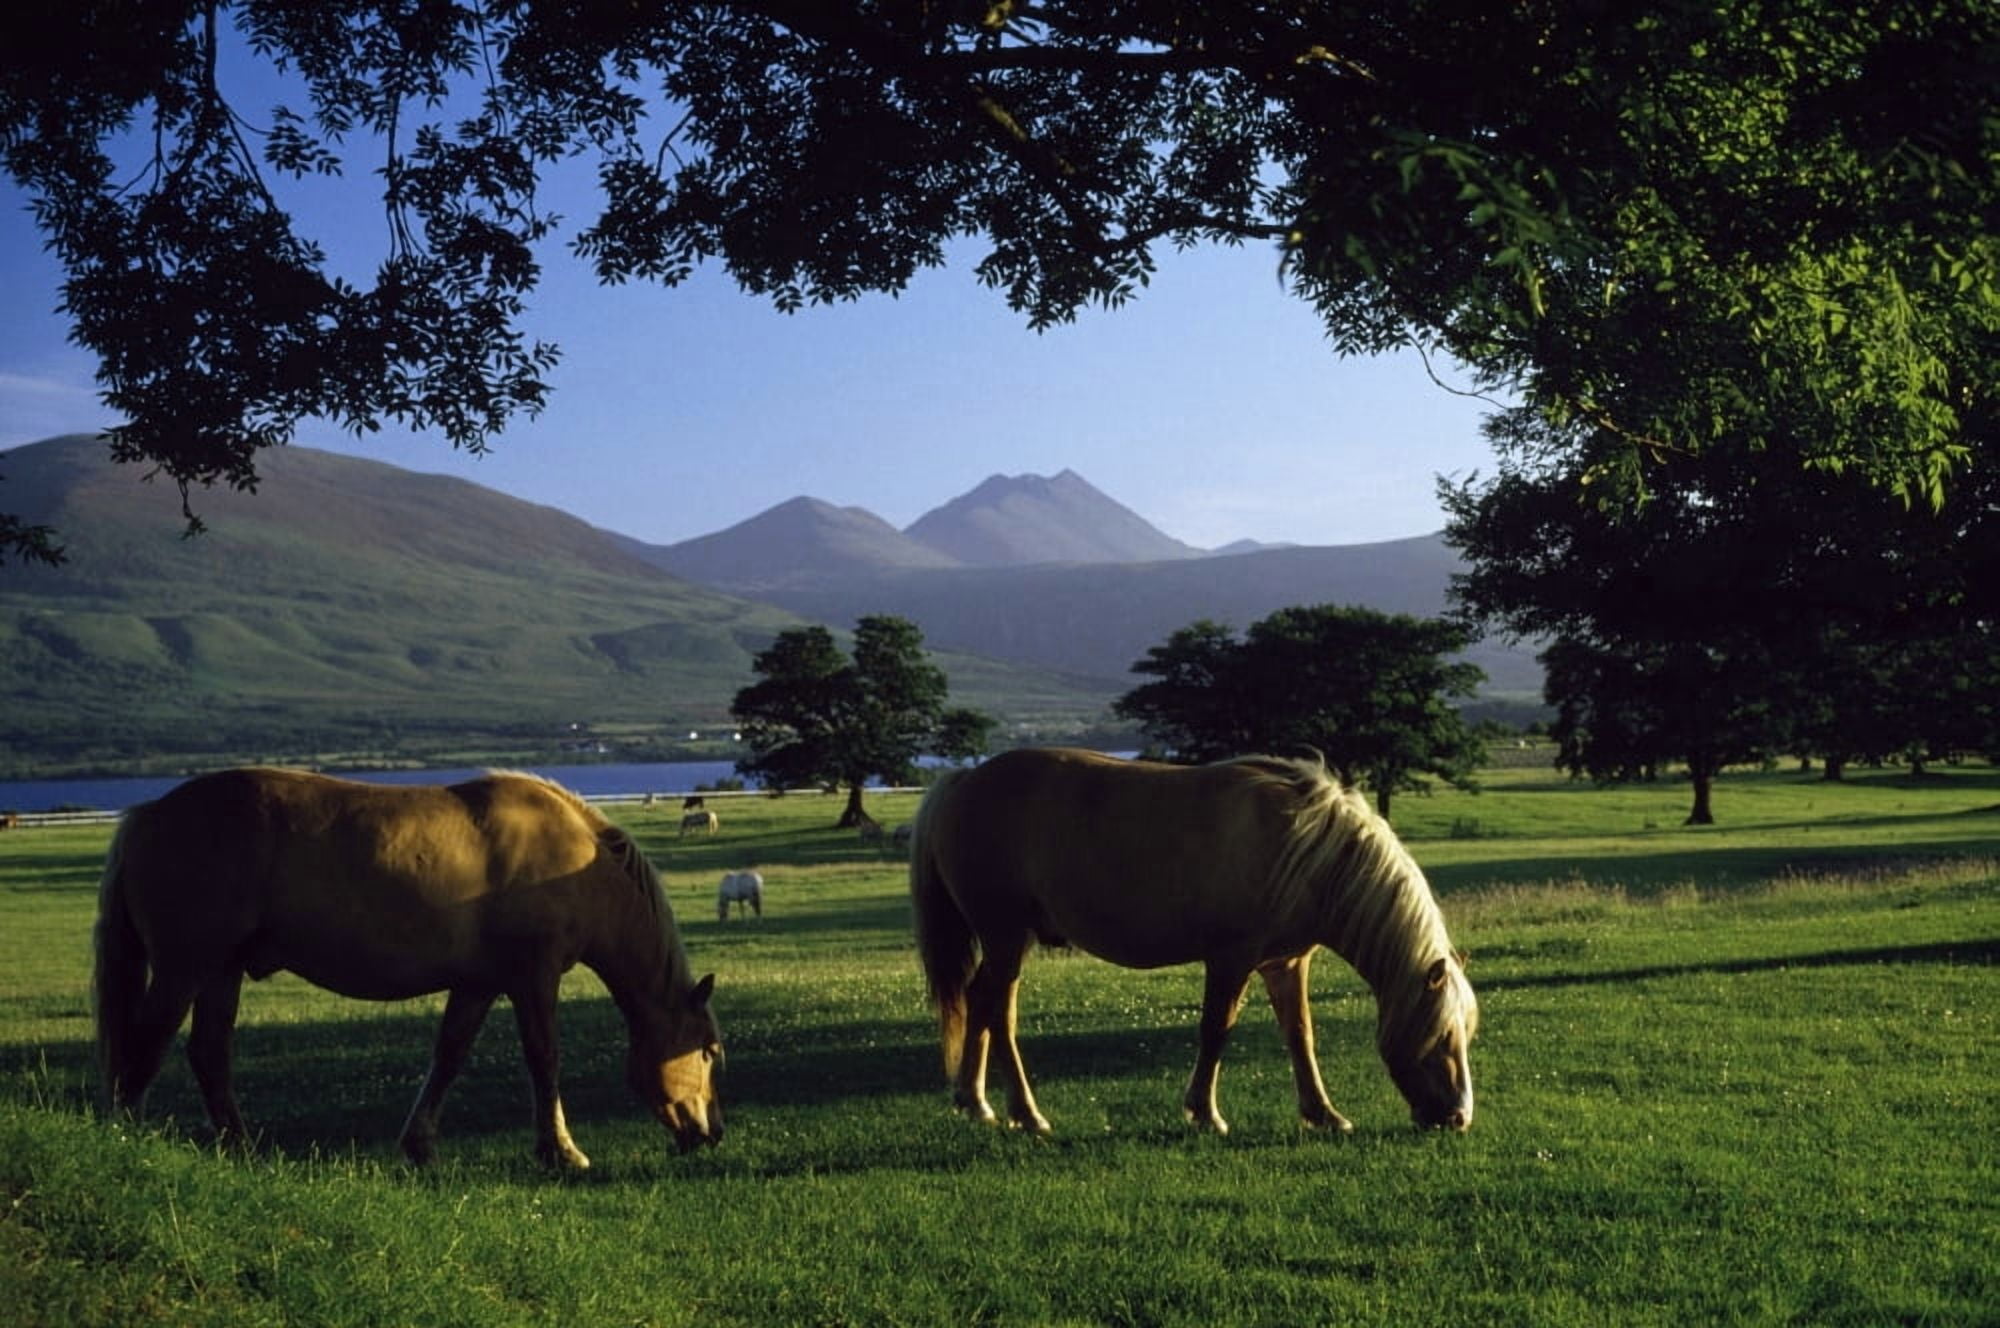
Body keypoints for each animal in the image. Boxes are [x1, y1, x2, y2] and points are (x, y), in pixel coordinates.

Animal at [92, 767, 724, 1169]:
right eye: (709, 1051)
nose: (711, 1133)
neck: (574, 859)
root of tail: (146, 816)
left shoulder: (477, 984)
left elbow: (448, 1058)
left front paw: (420, 1145)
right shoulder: (533, 978)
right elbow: (544, 1059)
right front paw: (562, 1152)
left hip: (220, 971)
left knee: (208, 1053)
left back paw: (241, 1147)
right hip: (184, 968)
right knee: (144, 1044)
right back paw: (130, 1140)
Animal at [909, 747, 1477, 1135]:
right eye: (1443, 1034)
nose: (1457, 1117)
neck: (1306, 849)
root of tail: (963, 780)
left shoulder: (1286, 963)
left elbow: (1300, 1035)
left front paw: (1324, 1113)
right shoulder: (1230, 959)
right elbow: (1215, 1030)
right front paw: (1205, 1113)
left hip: (1002, 942)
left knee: (978, 1000)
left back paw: (975, 1101)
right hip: (1006, 938)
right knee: (998, 1013)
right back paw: (1027, 1114)